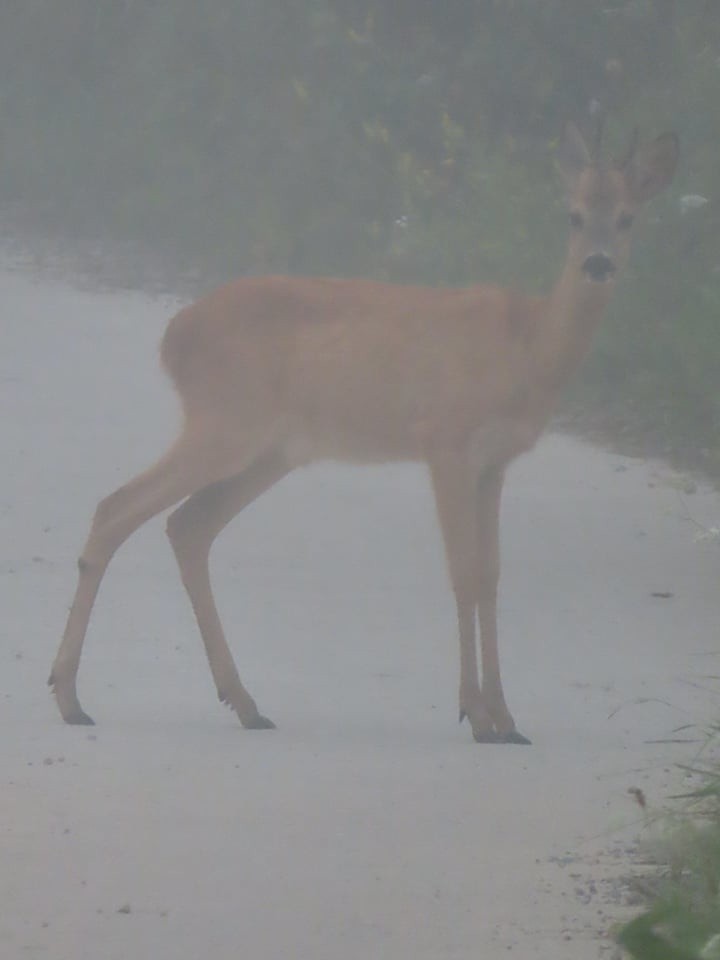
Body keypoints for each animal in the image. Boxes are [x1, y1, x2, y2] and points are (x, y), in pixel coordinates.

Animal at [47, 124, 676, 748]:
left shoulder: (495, 462)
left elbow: (492, 574)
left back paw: (244, 703)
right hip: (225, 422)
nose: (598, 263)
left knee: (188, 525)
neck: (527, 348)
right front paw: (476, 714)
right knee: (117, 508)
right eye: (574, 215)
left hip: (270, 450)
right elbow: (464, 572)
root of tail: (173, 335)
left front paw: (507, 717)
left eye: (626, 217)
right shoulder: (444, 440)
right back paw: (70, 697)